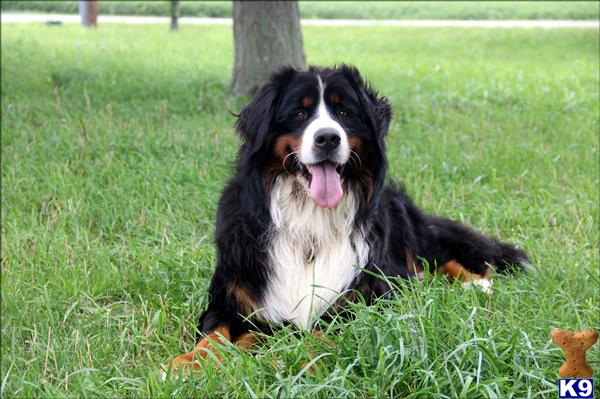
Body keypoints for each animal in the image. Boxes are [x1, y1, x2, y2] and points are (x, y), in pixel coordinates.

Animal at [162, 65, 528, 378]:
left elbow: (323, 334)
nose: (327, 138)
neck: (309, 220)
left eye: (344, 113)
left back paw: (476, 284)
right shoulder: (232, 295)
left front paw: (295, 360)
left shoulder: (365, 300)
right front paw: (189, 363)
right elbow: (214, 334)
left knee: (435, 258)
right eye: (299, 113)